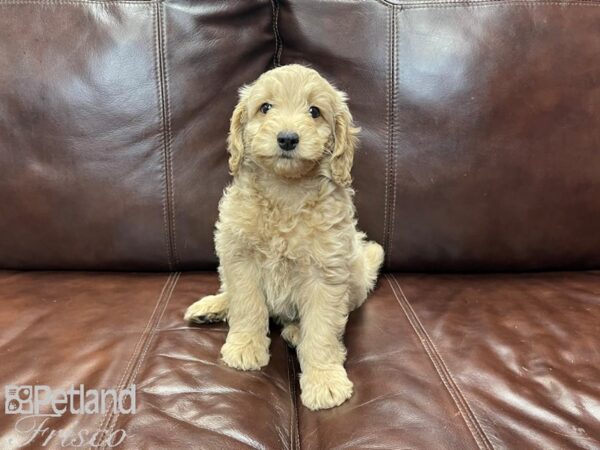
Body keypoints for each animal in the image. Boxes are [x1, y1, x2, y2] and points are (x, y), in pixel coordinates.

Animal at [184, 64, 384, 412]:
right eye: (265, 107)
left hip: (356, 275)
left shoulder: (326, 272)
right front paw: (245, 347)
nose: (288, 138)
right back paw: (213, 306)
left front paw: (324, 380)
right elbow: (247, 305)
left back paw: (295, 332)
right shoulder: (240, 257)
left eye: (315, 111)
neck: (285, 191)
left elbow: (322, 329)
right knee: (230, 292)